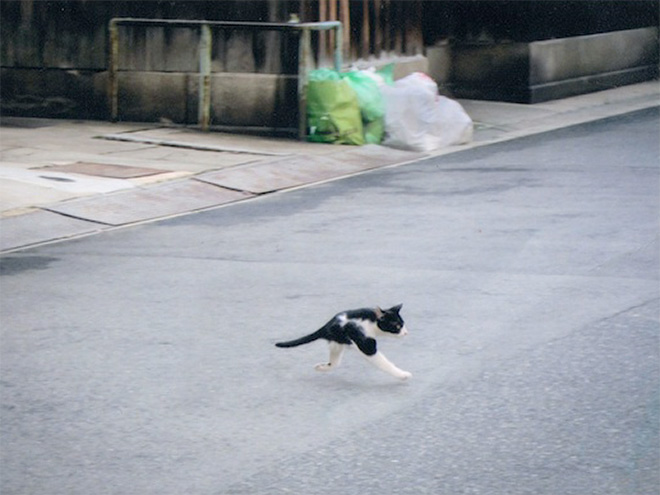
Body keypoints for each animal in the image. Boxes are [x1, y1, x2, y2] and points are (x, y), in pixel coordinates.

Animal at [274, 304, 412, 382]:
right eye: (397, 326)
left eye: (403, 324)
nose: (406, 332)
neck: (370, 322)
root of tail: (328, 325)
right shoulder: (367, 346)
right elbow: (384, 363)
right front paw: (403, 375)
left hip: (337, 344)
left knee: (334, 363)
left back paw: (321, 367)